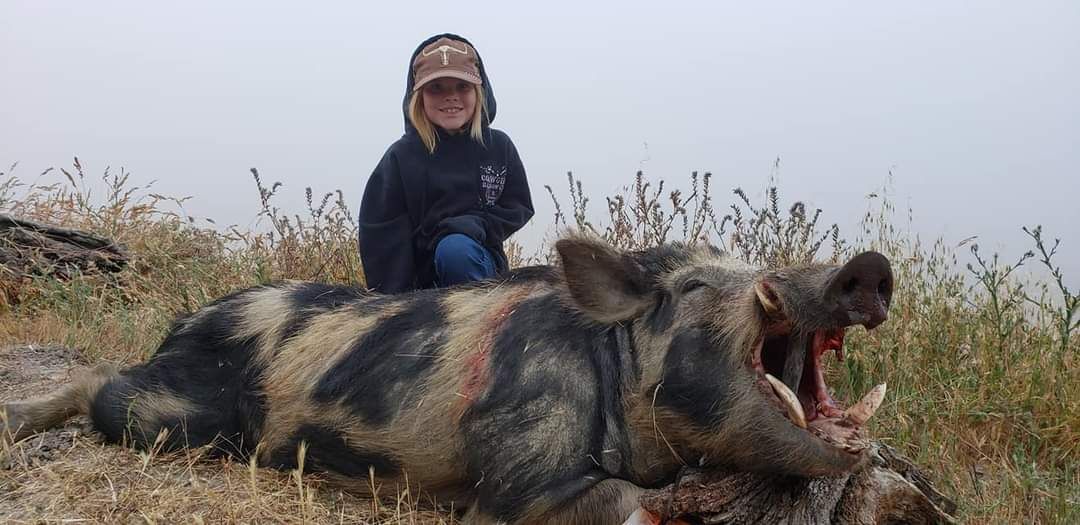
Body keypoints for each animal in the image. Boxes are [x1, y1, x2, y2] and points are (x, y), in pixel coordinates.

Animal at [0, 235, 893, 524]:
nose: (867, 267)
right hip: (180, 416)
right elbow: (615, 499)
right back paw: (17, 418)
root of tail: (184, 321)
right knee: (100, 383)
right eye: (698, 286)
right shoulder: (514, 468)